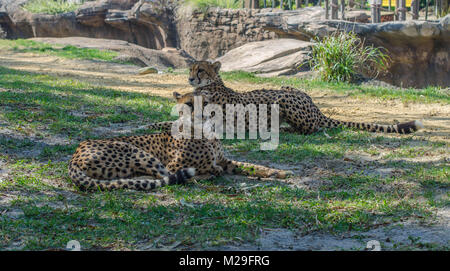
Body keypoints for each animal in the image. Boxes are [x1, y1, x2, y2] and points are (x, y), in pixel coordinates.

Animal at [185, 60, 422, 135]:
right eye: (191, 69)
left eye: (201, 70)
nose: (190, 78)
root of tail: (317, 109)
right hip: (286, 87)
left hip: (282, 97)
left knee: (311, 128)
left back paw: (283, 129)